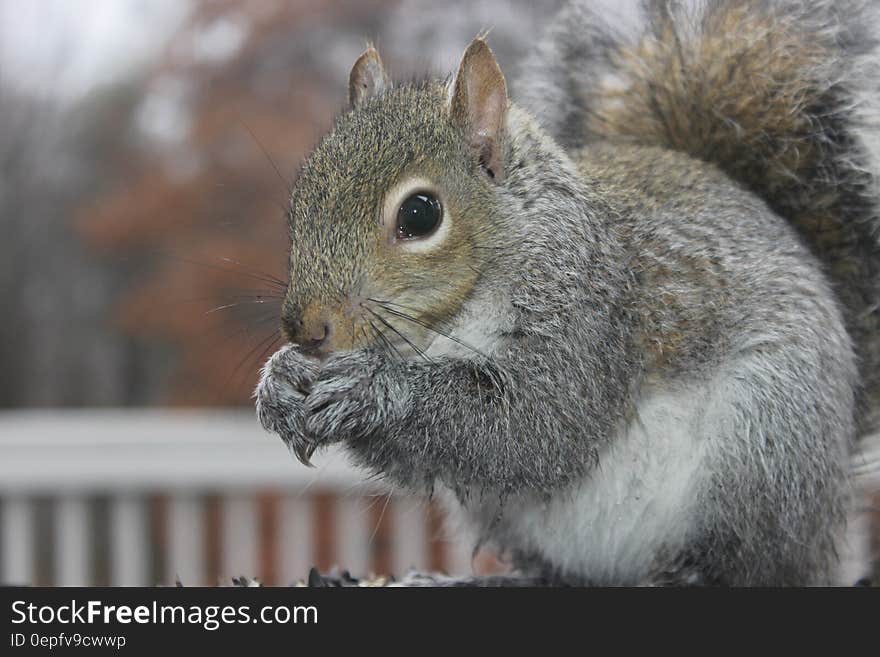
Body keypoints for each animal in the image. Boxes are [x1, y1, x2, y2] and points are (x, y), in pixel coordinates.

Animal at [253, 0, 880, 584]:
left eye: (419, 214)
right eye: (301, 198)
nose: (306, 328)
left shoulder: (591, 321)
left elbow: (538, 426)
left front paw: (372, 389)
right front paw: (282, 379)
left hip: (767, 442)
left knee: (755, 560)